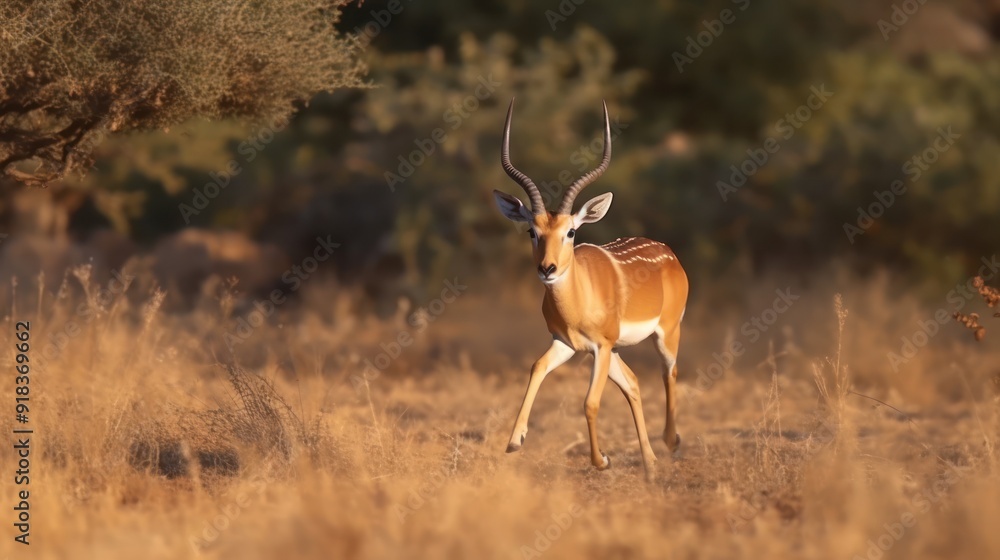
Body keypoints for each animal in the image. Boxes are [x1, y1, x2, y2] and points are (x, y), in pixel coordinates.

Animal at [494, 99, 689, 482]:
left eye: (571, 231)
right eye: (532, 231)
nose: (547, 269)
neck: (578, 302)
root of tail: (669, 253)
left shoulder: (600, 346)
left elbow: (590, 402)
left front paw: (602, 461)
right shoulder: (568, 344)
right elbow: (536, 367)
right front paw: (514, 442)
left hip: (666, 331)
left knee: (669, 372)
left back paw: (671, 442)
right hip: (615, 350)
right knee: (633, 383)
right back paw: (650, 465)